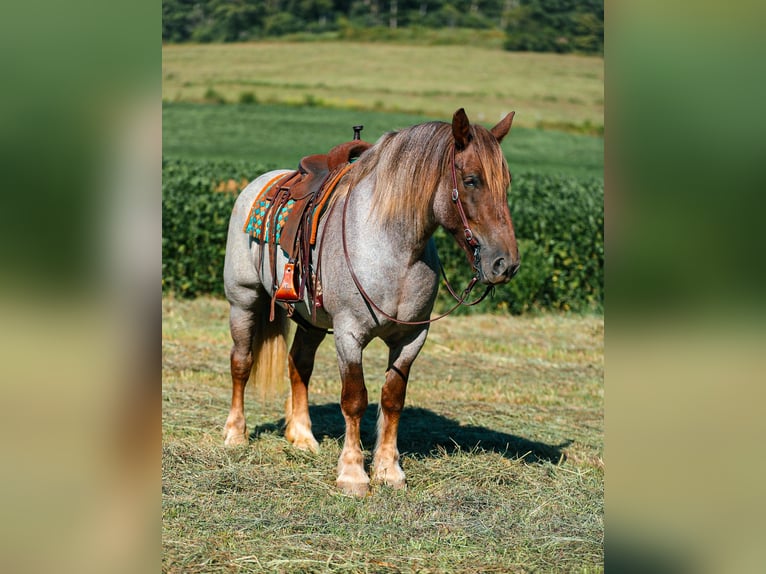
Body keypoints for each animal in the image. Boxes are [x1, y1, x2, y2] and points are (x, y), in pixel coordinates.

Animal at [222, 108, 520, 496]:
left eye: (507, 183)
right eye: (471, 180)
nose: (505, 264)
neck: (392, 248)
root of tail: (259, 183)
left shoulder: (411, 338)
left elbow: (393, 400)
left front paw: (389, 470)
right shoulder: (349, 334)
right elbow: (354, 399)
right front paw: (353, 473)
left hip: (311, 320)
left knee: (298, 364)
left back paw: (302, 436)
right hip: (244, 301)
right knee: (241, 362)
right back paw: (234, 434)